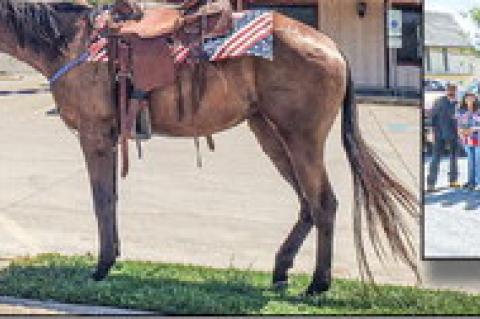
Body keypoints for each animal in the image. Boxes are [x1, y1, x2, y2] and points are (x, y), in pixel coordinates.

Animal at [0, 0, 420, 296]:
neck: (69, 43)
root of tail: (331, 46)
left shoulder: (94, 136)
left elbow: (101, 200)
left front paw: (101, 267)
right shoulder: (108, 138)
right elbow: (112, 199)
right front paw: (113, 257)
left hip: (302, 139)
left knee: (324, 203)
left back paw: (317, 284)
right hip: (271, 134)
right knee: (306, 203)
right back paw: (281, 269)